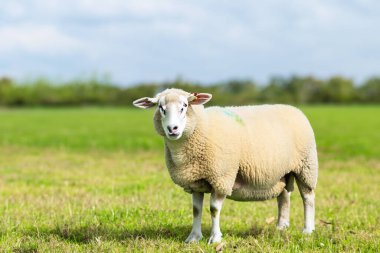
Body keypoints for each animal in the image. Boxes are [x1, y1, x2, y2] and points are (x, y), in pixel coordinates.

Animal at [134, 88, 318, 243]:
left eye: (185, 106)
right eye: (160, 107)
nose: (173, 129)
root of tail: (294, 109)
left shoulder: (221, 177)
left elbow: (214, 209)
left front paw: (215, 238)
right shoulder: (196, 181)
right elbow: (196, 210)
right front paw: (193, 238)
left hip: (306, 166)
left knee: (308, 198)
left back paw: (307, 230)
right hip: (282, 171)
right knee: (284, 196)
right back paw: (281, 227)